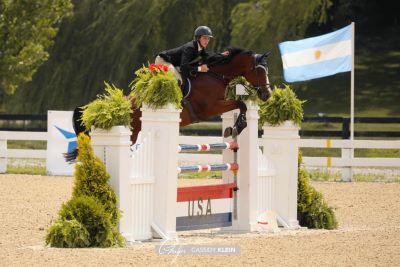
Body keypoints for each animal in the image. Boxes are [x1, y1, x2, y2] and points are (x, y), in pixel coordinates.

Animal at [68, 47, 272, 162]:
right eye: (259, 71)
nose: (267, 95)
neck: (215, 75)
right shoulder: (211, 108)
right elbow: (241, 104)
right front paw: (236, 127)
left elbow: (241, 105)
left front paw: (234, 127)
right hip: (131, 132)